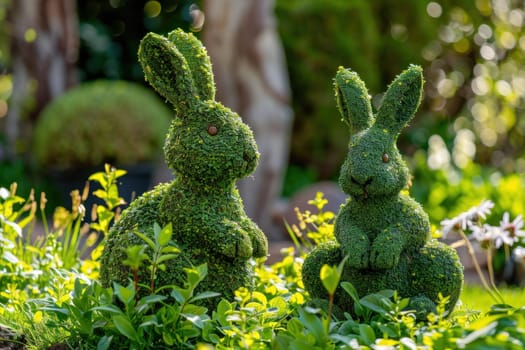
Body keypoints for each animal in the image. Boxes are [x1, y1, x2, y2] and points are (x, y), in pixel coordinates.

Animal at [100, 30, 268, 308]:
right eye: (212, 130)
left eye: (240, 121)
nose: (249, 155)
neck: (212, 188)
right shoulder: (179, 208)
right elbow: (203, 224)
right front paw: (239, 242)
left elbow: (244, 220)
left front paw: (258, 241)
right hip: (140, 252)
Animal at [298, 64, 462, 318]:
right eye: (349, 156)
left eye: (385, 157)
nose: (361, 179)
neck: (373, 203)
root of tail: (365, 311)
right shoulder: (346, 217)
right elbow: (346, 230)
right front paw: (360, 254)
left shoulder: (411, 215)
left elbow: (409, 229)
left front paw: (380, 255)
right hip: (318, 260)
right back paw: (323, 310)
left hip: (444, 264)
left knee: (441, 295)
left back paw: (421, 308)